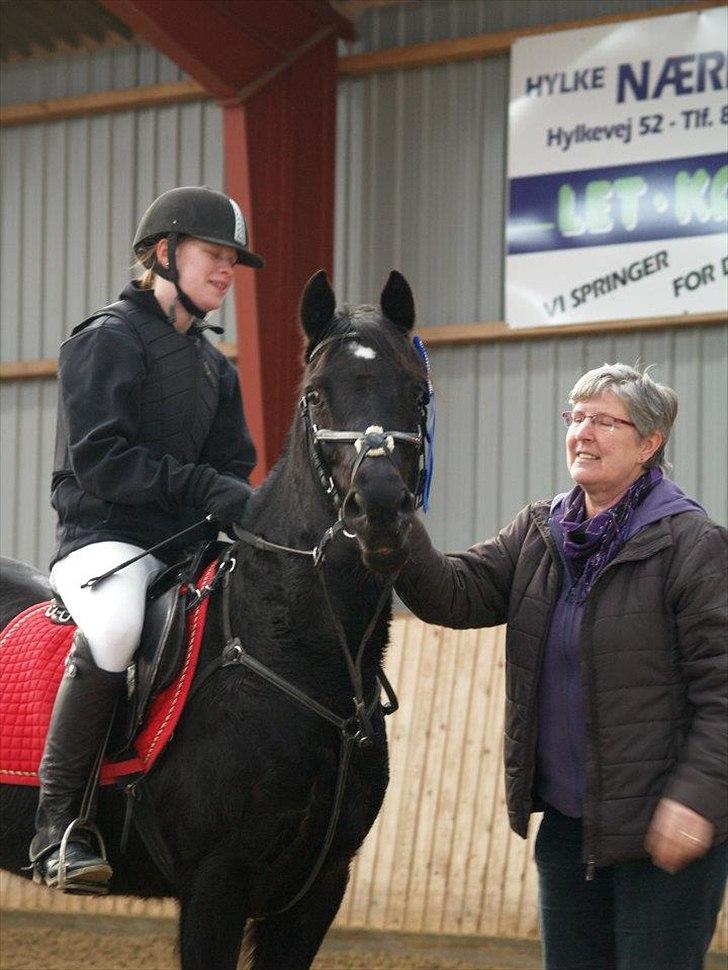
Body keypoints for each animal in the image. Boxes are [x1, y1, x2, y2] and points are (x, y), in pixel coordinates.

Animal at [0, 268, 430, 968]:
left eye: (417, 394)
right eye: (315, 395)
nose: (381, 512)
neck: (294, 654)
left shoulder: (318, 890)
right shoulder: (216, 884)